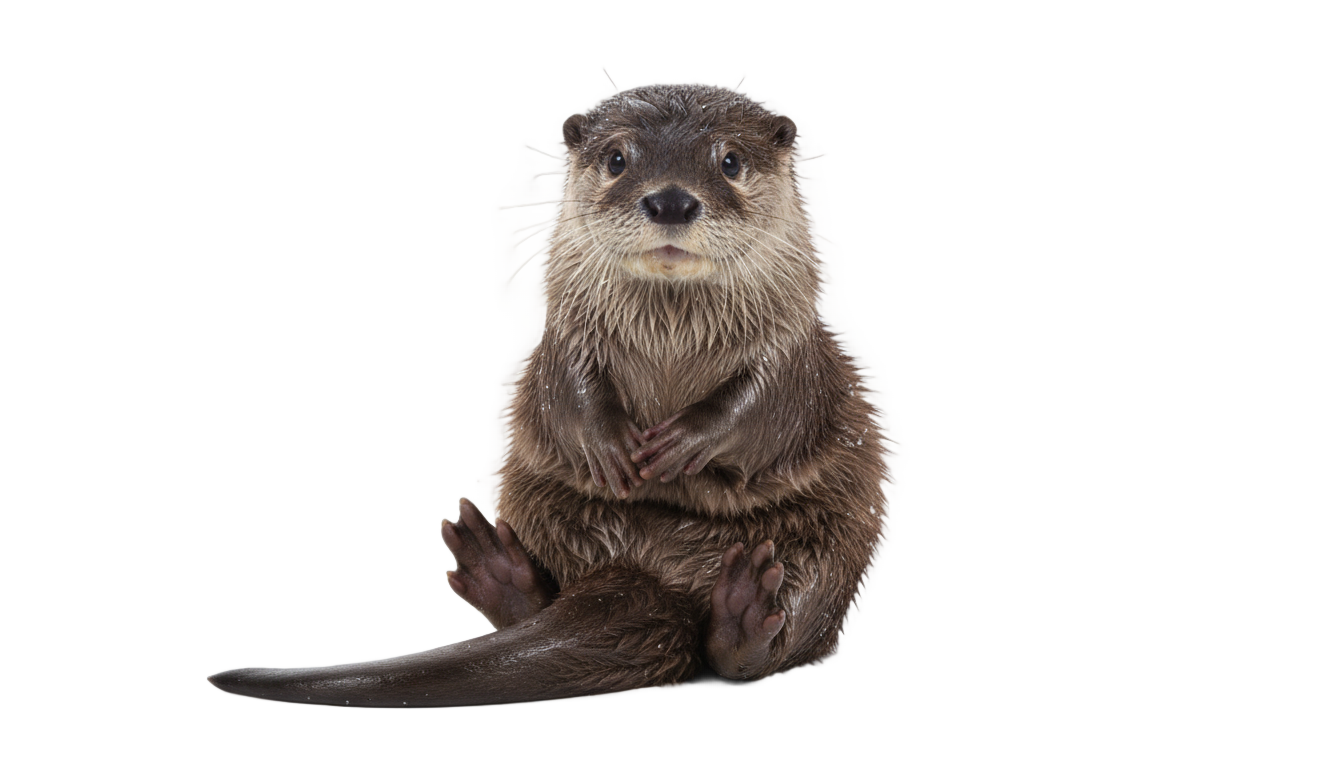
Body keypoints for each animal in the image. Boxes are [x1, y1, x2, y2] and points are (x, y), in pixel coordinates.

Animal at [207, 84, 887, 705]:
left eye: (731, 160)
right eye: (617, 159)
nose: (670, 199)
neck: (672, 336)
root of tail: (655, 574)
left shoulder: (791, 355)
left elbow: (762, 408)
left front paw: (681, 444)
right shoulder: (566, 341)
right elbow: (569, 394)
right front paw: (612, 449)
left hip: (832, 544)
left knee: (772, 637)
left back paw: (745, 613)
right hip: (536, 495)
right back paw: (502, 575)